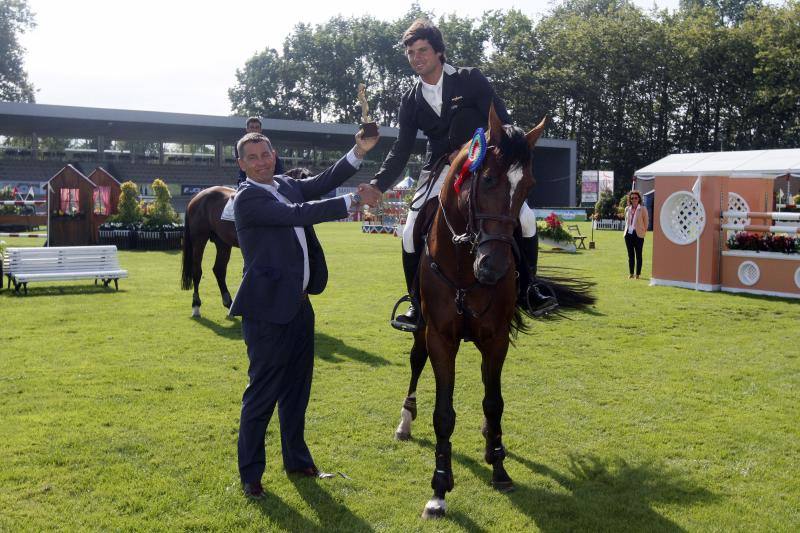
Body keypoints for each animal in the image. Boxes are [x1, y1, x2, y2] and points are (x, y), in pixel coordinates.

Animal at [181, 168, 310, 316]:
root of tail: (197, 196)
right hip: (199, 240)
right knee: (197, 271)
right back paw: (196, 306)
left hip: (222, 243)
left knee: (219, 270)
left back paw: (228, 303)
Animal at [396, 109, 596, 520]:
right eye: (486, 178)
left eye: (528, 186)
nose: (494, 268)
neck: (464, 263)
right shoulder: (441, 338)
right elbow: (444, 413)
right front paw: (439, 489)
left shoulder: (495, 338)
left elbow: (494, 402)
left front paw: (500, 469)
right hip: (421, 329)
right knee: (415, 361)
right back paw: (405, 421)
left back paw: (491, 442)